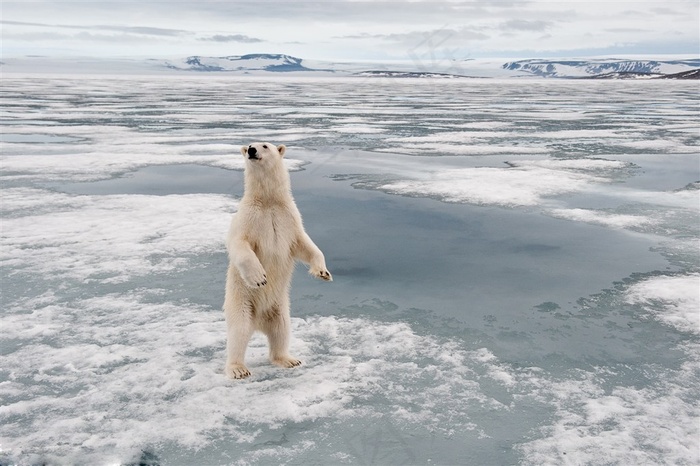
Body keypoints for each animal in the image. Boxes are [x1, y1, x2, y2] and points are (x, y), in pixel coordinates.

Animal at [224, 141, 334, 378]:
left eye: (265, 145)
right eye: (249, 145)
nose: (251, 150)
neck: (268, 201)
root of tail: (258, 323)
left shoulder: (289, 217)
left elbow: (305, 244)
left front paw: (323, 272)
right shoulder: (248, 218)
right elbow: (240, 245)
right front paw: (260, 278)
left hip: (279, 306)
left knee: (281, 330)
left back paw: (288, 359)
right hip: (241, 301)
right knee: (239, 331)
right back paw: (238, 369)